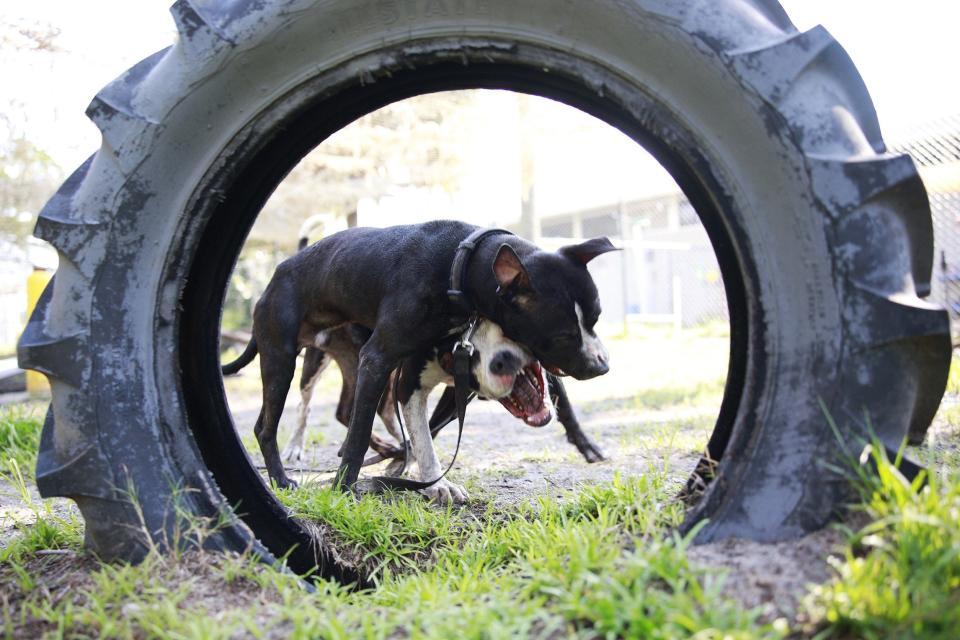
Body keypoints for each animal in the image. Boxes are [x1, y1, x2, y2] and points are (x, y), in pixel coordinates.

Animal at [224, 221, 612, 490]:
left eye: (596, 317)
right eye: (561, 335)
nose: (601, 366)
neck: (459, 261)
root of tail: (277, 274)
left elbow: (426, 429)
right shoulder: (379, 359)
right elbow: (361, 435)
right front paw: (344, 488)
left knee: (342, 412)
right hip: (284, 362)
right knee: (271, 426)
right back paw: (281, 477)